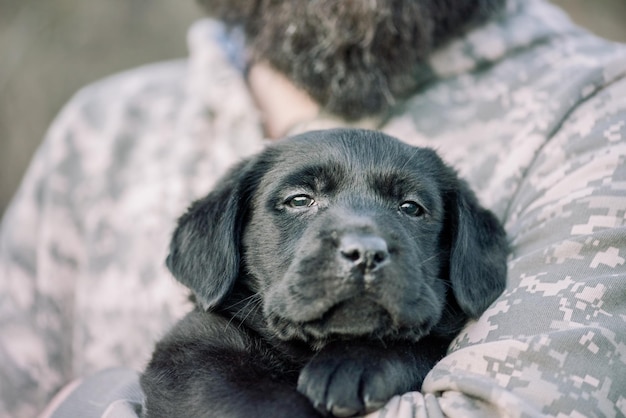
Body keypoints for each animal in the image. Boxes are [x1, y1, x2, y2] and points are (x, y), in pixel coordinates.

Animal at [141, 127, 508, 418]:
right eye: (300, 200)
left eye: (410, 207)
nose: (365, 253)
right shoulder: (192, 353)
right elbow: (264, 403)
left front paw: (352, 364)